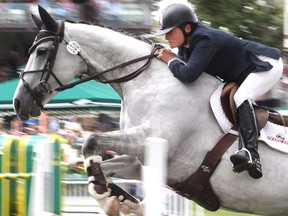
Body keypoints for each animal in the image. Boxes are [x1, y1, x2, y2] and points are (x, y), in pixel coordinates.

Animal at [12, 5, 288, 216]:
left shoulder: (153, 140)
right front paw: (119, 199)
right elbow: (102, 166)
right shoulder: (140, 158)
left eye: (42, 51)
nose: (17, 103)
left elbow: (90, 141)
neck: (145, 80)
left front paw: (108, 195)